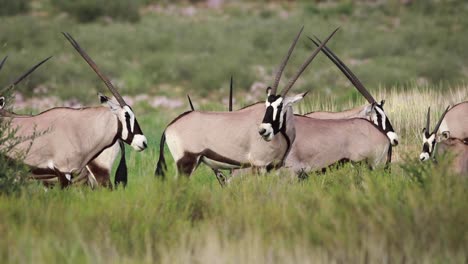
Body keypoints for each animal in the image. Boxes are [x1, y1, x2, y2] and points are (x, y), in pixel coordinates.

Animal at [155, 27, 338, 183]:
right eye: (267, 104)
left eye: (280, 106)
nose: (263, 131)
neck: (283, 134)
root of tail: (169, 127)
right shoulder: (259, 165)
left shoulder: (273, 167)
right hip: (187, 162)